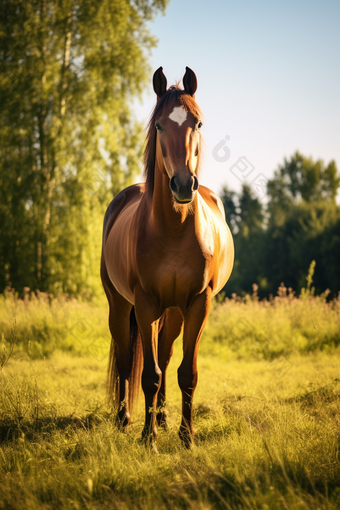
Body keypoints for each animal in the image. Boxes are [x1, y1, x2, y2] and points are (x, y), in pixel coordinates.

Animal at [101, 65, 234, 448]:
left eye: (198, 123)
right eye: (159, 125)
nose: (183, 185)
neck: (173, 229)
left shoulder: (198, 303)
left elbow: (185, 372)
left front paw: (187, 435)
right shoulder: (145, 303)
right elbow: (148, 373)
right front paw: (149, 438)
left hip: (174, 311)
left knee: (164, 352)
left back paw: (160, 414)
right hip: (120, 305)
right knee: (127, 357)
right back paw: (125, 418)